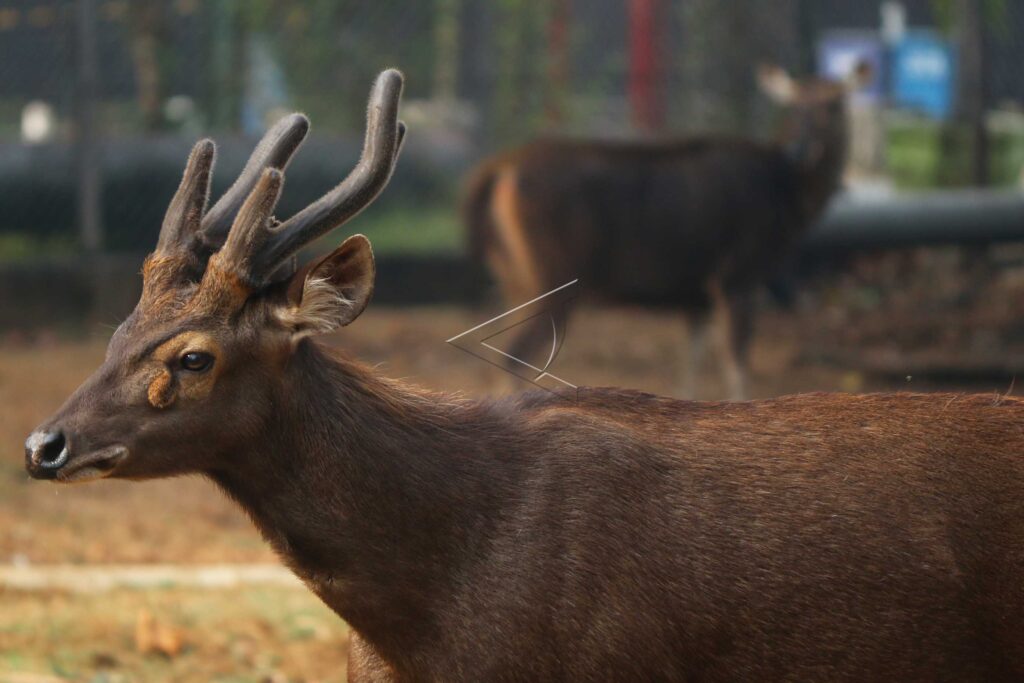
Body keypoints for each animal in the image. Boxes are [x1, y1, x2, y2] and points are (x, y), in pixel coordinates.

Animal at [463, 63, 871, 400]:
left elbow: (690, 367)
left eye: (835, 104)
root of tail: (498, 170)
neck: (788, 195)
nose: (800, 149)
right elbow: (736, 367)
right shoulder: (737, 275)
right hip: (553, 276)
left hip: (515, 279)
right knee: (512, 359)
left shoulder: (697, 292)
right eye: (793, 106)